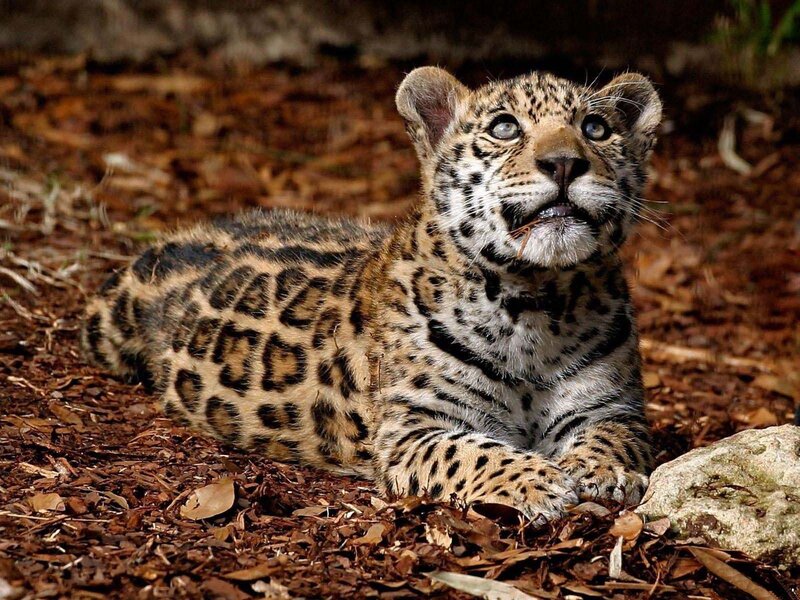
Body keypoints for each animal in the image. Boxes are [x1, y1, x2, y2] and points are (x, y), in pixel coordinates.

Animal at [81, 66, 662, 523]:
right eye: (504, 128)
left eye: (595, 128)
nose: (564, 162)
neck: (536, 304)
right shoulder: (413, 429)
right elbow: (474, 453)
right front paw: (540, 481)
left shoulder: (611, 408)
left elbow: (614, 437)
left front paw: (597, 471)